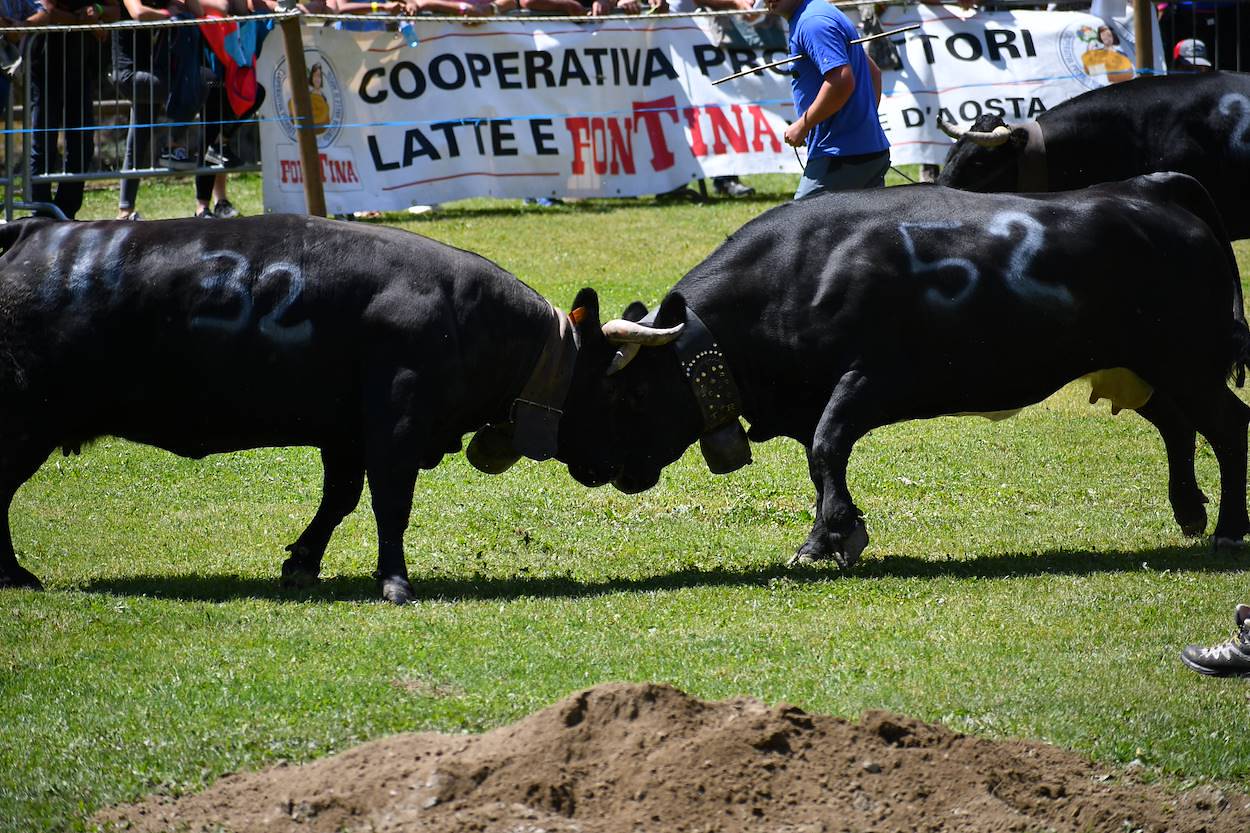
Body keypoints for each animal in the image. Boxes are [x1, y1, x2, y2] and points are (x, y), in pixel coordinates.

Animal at [0, 217, 585, 600]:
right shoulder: (396, 426)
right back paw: (17, 575)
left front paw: (303, 562)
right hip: (24, 428)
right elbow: (391, 504)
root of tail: (31, 230)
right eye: (610, 381)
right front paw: (395, 583)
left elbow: (341, 499)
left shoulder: (346, 435)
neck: (462, 316)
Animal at [552, 171, 1250, 567]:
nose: (583, 466)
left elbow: (827, 446)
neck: (795, 277)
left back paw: (1227, 530)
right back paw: (1190, 511)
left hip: (1189, 363)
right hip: (1139, 367)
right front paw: (835, 530)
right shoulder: (814, 399)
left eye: (625, 396)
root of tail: (1148, 192)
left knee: (1228, 427)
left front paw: (830, 537)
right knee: (1178, 426)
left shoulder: (870, 379)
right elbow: (822, 458)